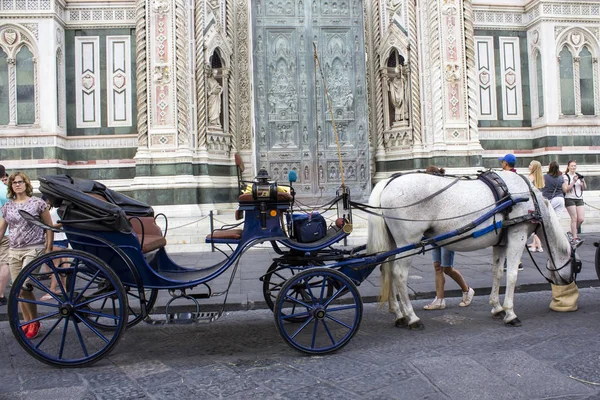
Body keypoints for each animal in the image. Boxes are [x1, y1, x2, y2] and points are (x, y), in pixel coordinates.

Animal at [368, 170, 580, 330]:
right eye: (577, 265)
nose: (567, 285)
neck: (528, 197)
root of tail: (388, 181)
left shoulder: (500, 242)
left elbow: (497, 272)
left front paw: (497, 307)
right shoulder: (517, 235)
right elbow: (511, 274)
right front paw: (510, 313)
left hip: (394, 243)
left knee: (387, 270)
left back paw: (399, 314)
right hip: (408, 241)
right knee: (399, 274)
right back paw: (412, 317)